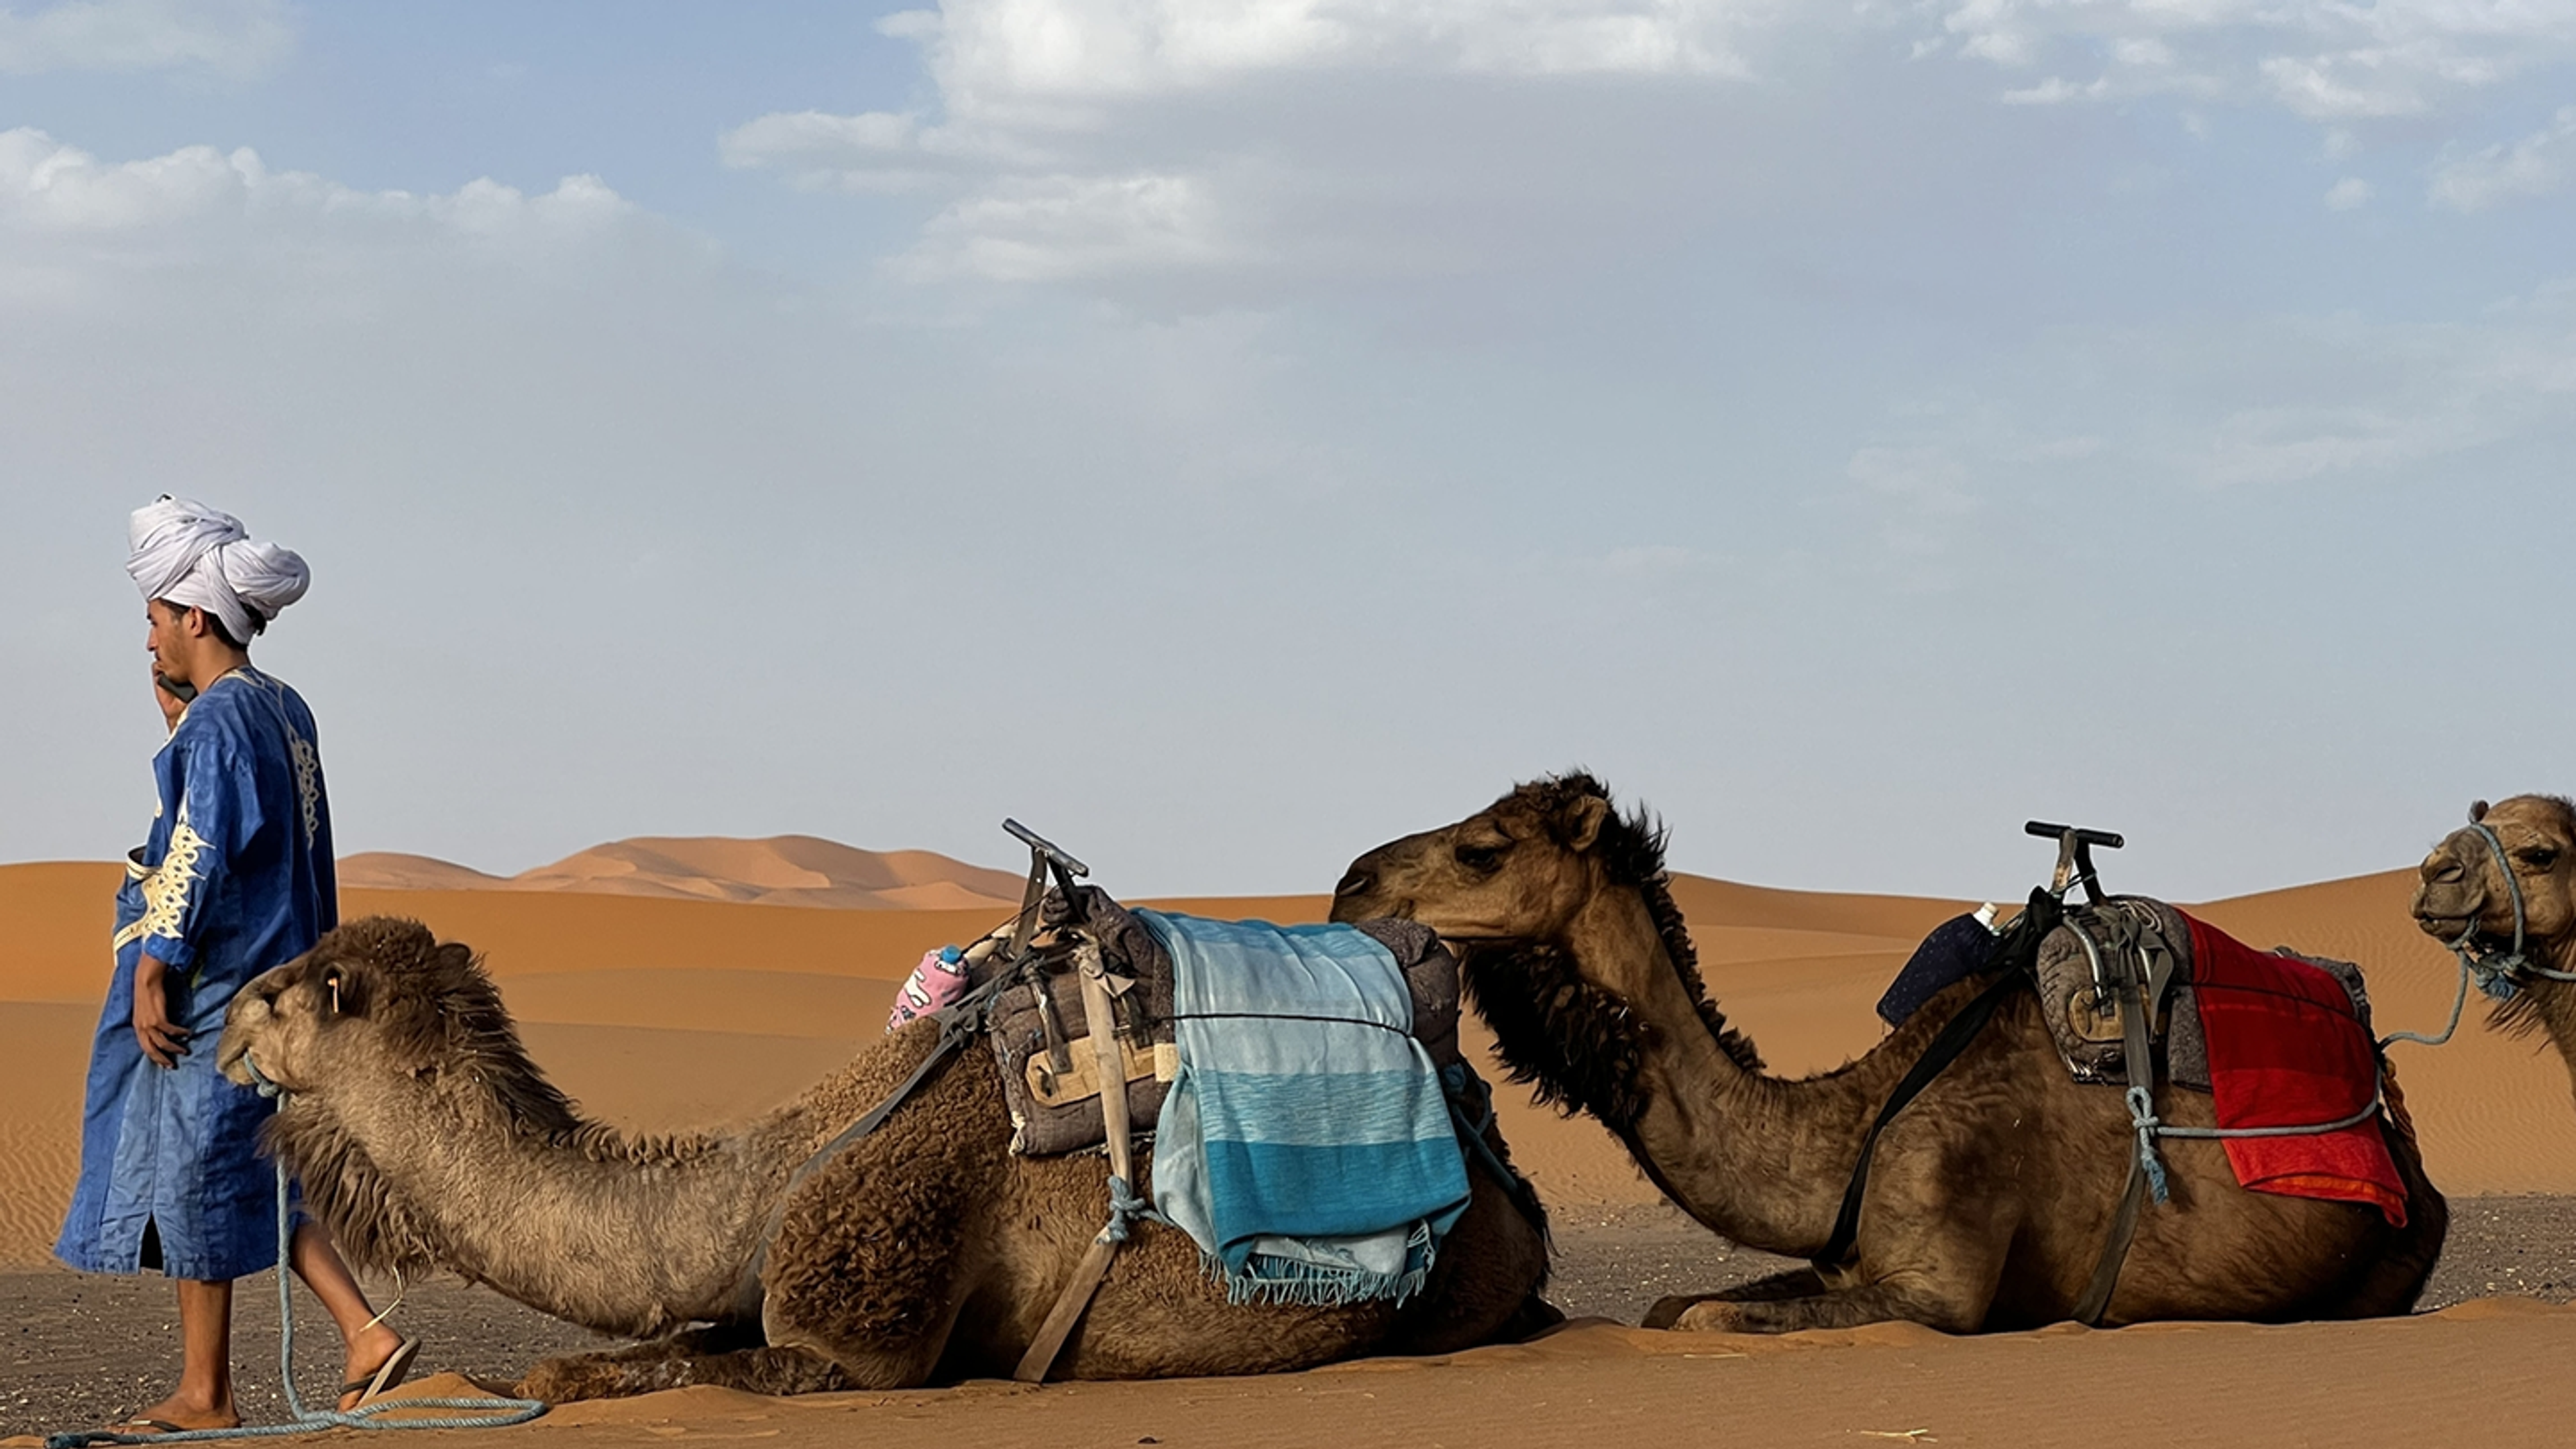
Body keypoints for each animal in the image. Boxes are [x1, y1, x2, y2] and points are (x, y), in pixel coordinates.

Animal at [213, 917, 1555, 1401]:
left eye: (288, 992)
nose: (217, 1023)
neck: (767, 1177)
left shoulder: (853, 1335)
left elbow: (652, 1371)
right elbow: (626, 1352)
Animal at [1330, 775, 2447, 1334]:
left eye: (1483, 849)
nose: (1348, 883)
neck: (1851, 1122)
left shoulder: (1937, 1279)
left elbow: (1706, 1322)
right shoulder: (1844, 1256)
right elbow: (1671, 1305)